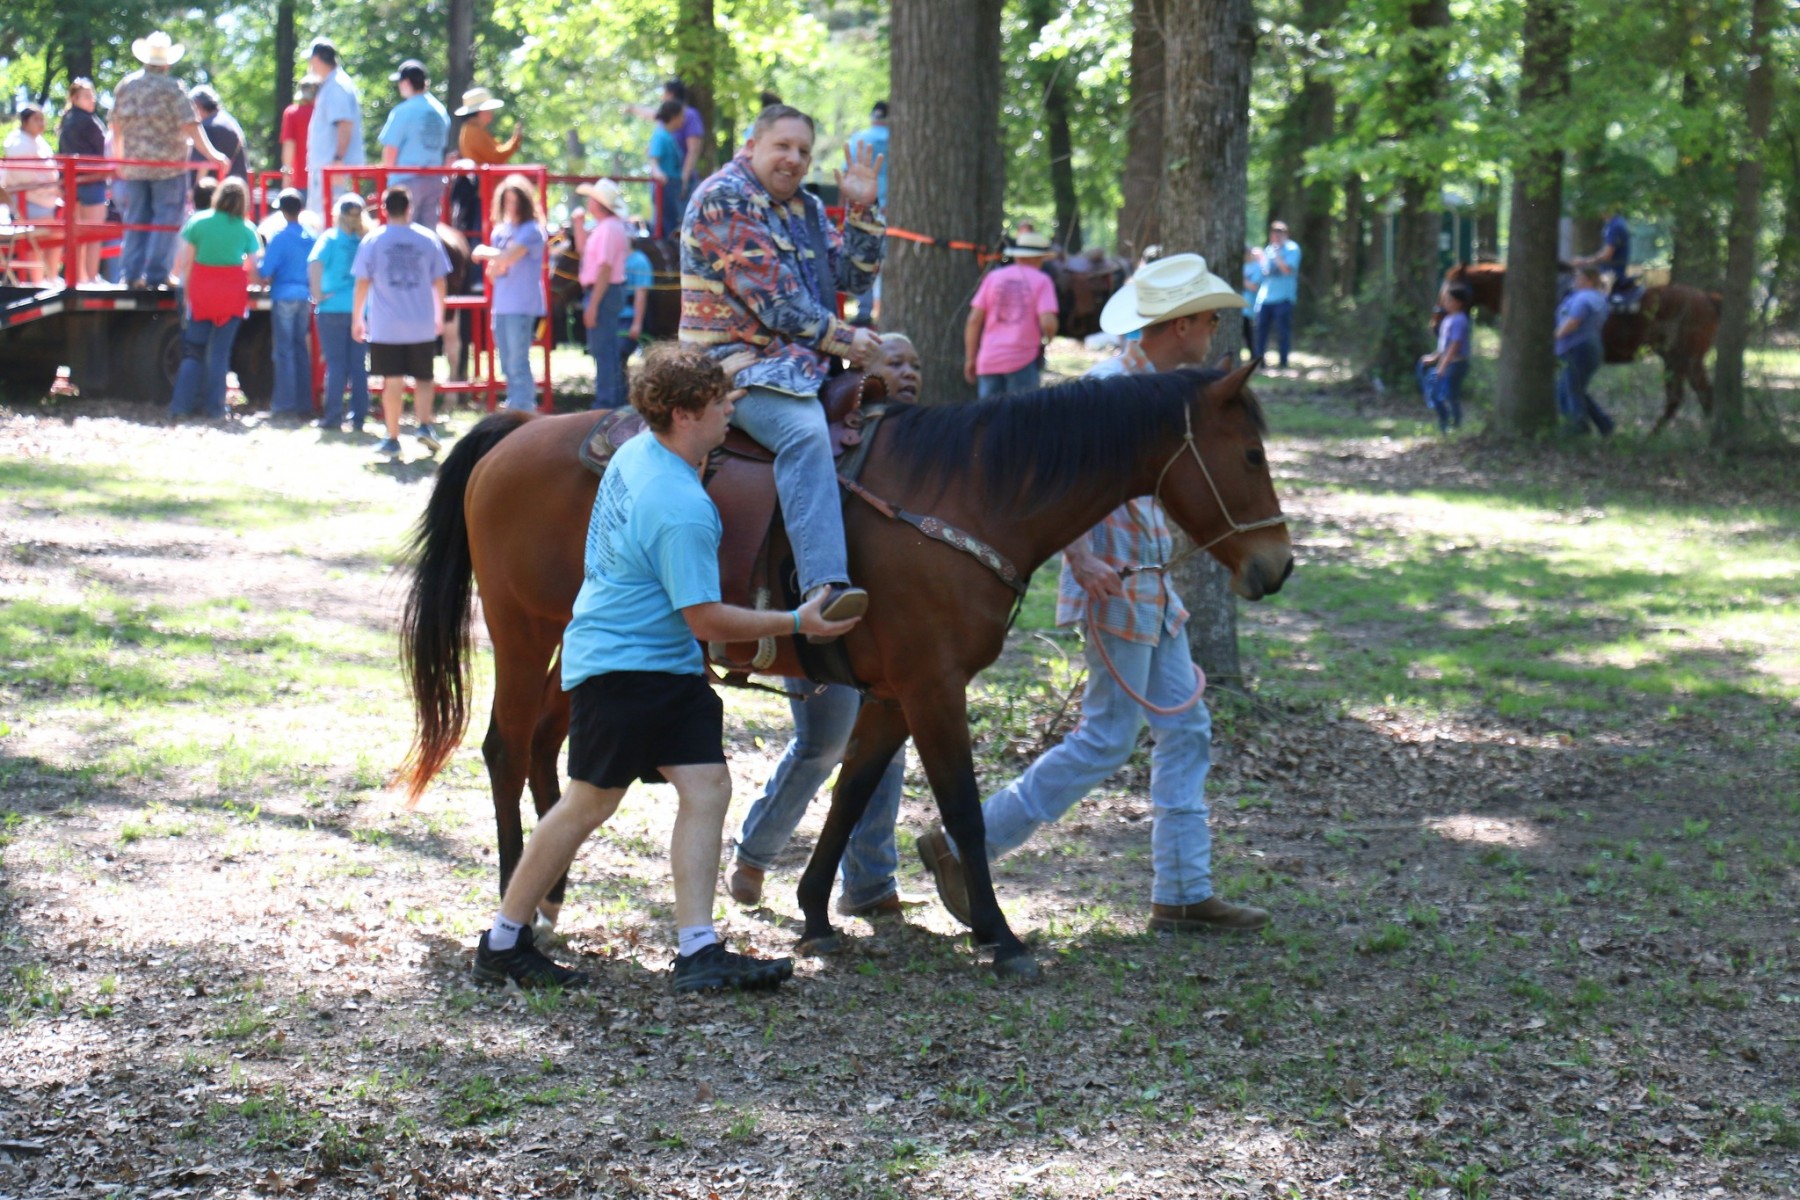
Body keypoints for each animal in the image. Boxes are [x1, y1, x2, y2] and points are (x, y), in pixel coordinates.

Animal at [397, 364, 1293, 980]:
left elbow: (851, 793)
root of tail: (514, 431)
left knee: (546, 749)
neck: (967, 497)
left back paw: (549, 893)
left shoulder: (895, 693)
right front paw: (1000, 935)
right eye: (1250, 454)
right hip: (523, 631)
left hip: (579, 649)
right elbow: (962, 810)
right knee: (506, 748)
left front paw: (816, 913)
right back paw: (517, 898)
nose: (1277, 568)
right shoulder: (933, 688)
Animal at [1439, 264, 1722, 433]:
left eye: (1453, 290)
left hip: (1686, 358)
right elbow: (1580, 391)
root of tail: (1708, 298)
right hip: (1674, 360)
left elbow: (1573, 389)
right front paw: (1601, 424)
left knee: (1701, 395)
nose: (1435, 321)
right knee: (1681, 398)